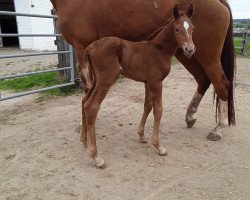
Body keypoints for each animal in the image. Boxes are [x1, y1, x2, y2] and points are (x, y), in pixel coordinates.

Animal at [80, 4, 195, 167]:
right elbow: (158, 110)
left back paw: (84, 140)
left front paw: (141, 136)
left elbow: (147, 105)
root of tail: (91, 47)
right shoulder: (156, 82)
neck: (159, 50)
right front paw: (159, 146)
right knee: (91, 106)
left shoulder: (148, 82)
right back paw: (96, 157)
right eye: (177, 28)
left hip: (96, 80)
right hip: (106, 80)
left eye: (192, 28)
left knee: (84, 101)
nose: (189, 49)